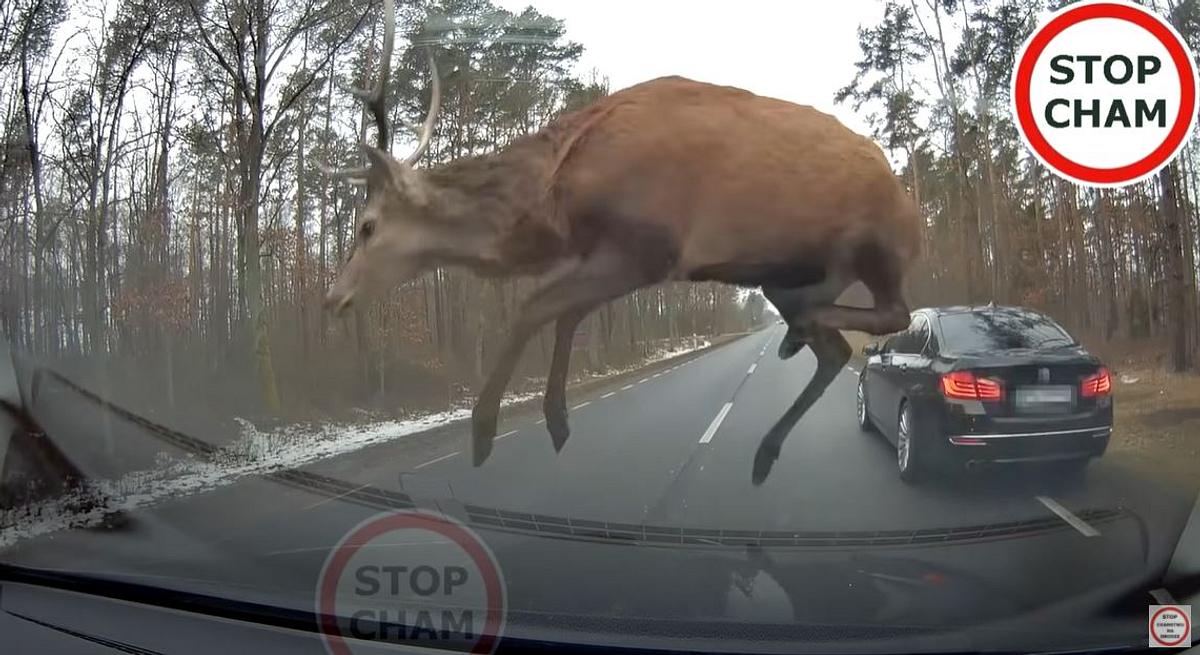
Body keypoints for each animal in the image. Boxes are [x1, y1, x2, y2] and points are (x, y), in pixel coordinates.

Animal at [324, 0, 921, 479]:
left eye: (367, 225)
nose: (333, 297)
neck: (555, 196)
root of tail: (907, 198)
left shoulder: (646, 248)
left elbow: (533, 305)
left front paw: (485, 428)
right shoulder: (610, 253)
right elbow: (565, 313)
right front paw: (555, 418)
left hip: (875, 248)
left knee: (895, 313)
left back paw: (796, 342)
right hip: (781, 278)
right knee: (836, 347)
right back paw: (768, 439)